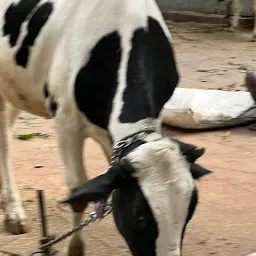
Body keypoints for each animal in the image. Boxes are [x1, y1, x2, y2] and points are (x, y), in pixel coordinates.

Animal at [0, 0, 211, 254]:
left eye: (189, 213)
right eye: (140, 218)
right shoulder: (66, 120)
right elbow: (78, 189)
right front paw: (75, 250)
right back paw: (13, 214)